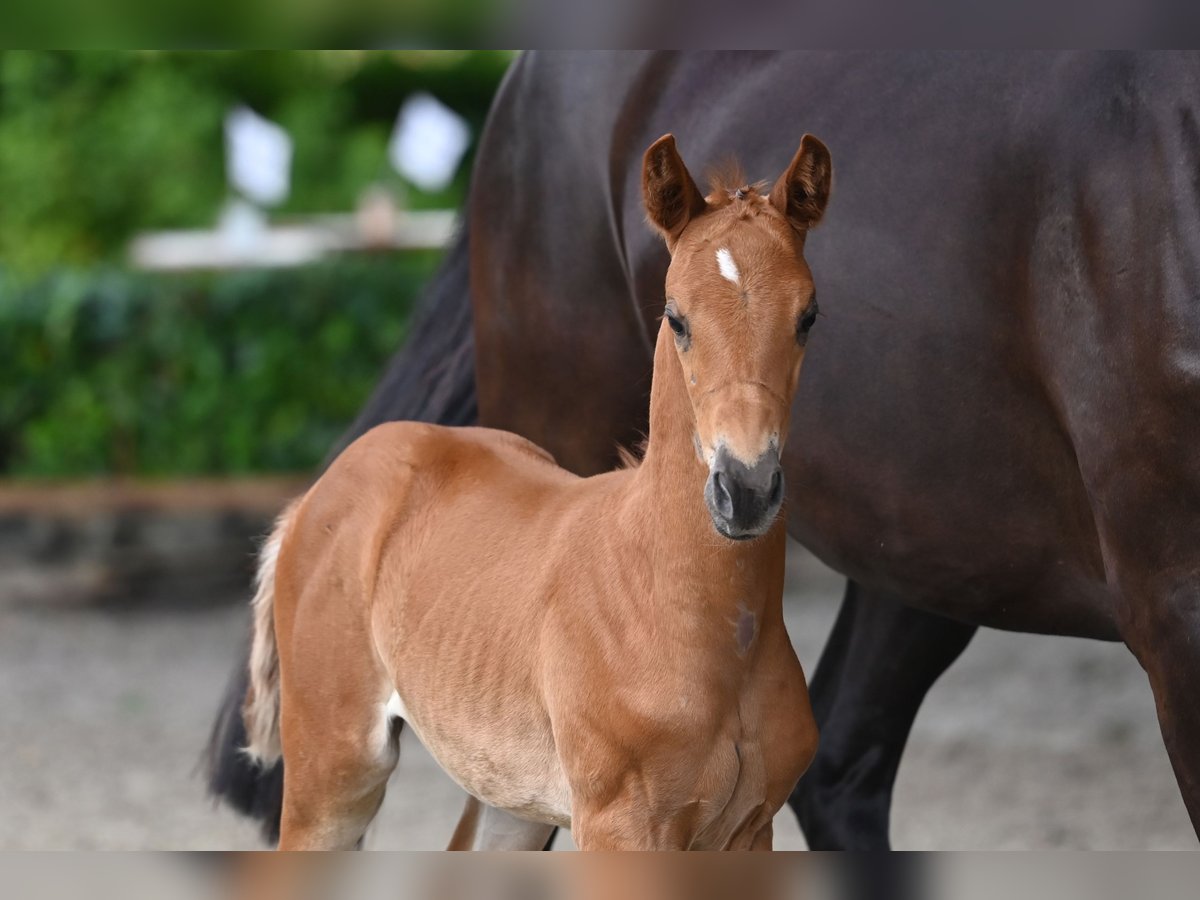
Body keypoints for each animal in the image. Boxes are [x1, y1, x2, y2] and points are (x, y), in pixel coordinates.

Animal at [243, 133, 835, 854]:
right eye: (676, 317)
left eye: (808, 316)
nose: (744, 489)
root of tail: (319, 492)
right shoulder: (619, 826)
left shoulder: (748, 830)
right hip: (334, 771)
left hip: (512, 799)